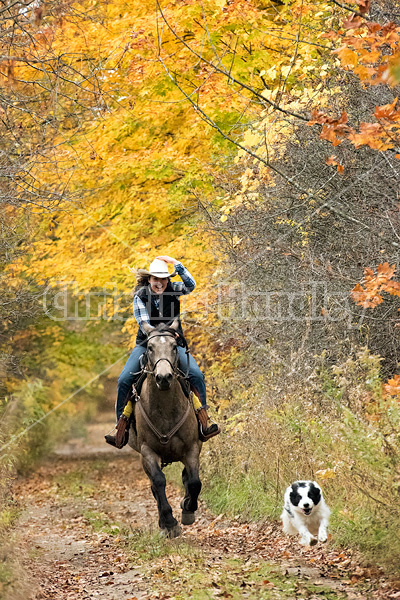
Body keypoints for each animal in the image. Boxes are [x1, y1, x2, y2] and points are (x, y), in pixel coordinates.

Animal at [127, 318, 203, 540]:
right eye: (150, 348)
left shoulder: (192, 448)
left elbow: (194, 482)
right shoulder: (147, 452)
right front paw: (169, 523)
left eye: (174, 347)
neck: (166, 410)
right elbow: (159, 482)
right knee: (154, 485)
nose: (164, 377)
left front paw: (187, 510)